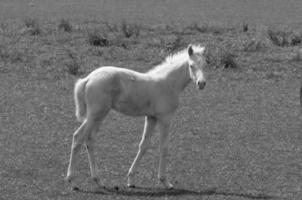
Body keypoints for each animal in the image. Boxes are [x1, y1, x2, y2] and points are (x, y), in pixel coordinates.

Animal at [66, 44, 208, 191]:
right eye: (191, 65)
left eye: (205, 64)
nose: (201, 83)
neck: (168, 83)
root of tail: (88, 78)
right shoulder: (165, 118)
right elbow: (164, 146)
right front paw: (165, 182)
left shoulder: (151, 118)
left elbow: (144, 145)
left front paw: (131, 180)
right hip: (95, 114)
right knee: (78, 137)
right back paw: (73, 182)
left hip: (99, 115)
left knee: (89, 139)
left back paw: (99, 181)